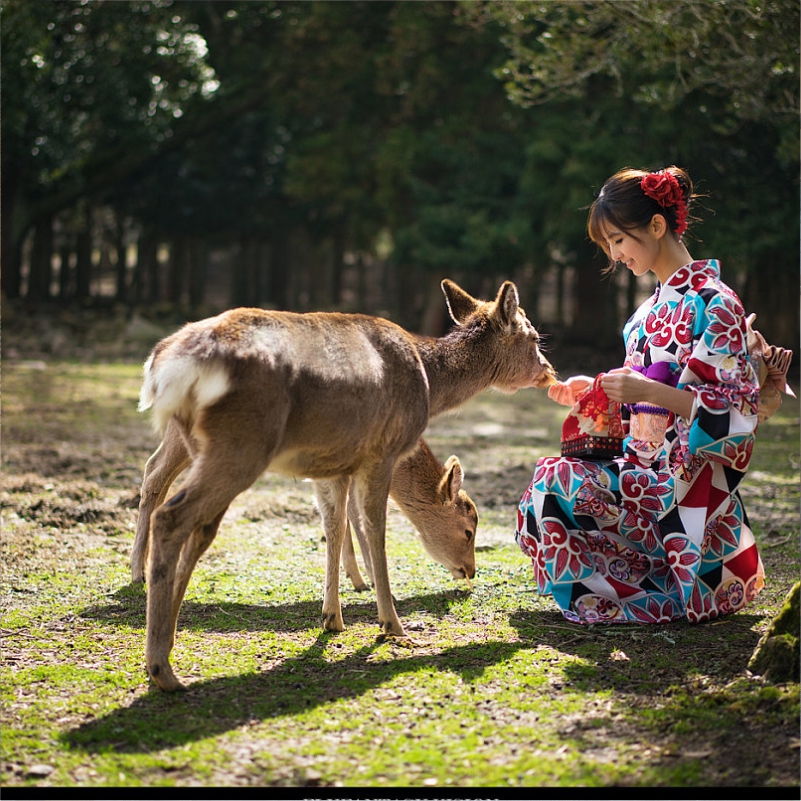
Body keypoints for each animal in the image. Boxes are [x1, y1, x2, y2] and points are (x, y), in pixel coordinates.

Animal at [132, 428, 478, 592]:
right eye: (469, 530)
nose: (470, 570)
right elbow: (354, 514)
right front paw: (371, 580)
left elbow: (346, 514)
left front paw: (357, 579)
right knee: (153, 473)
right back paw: (138, 573)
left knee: (156, 471)